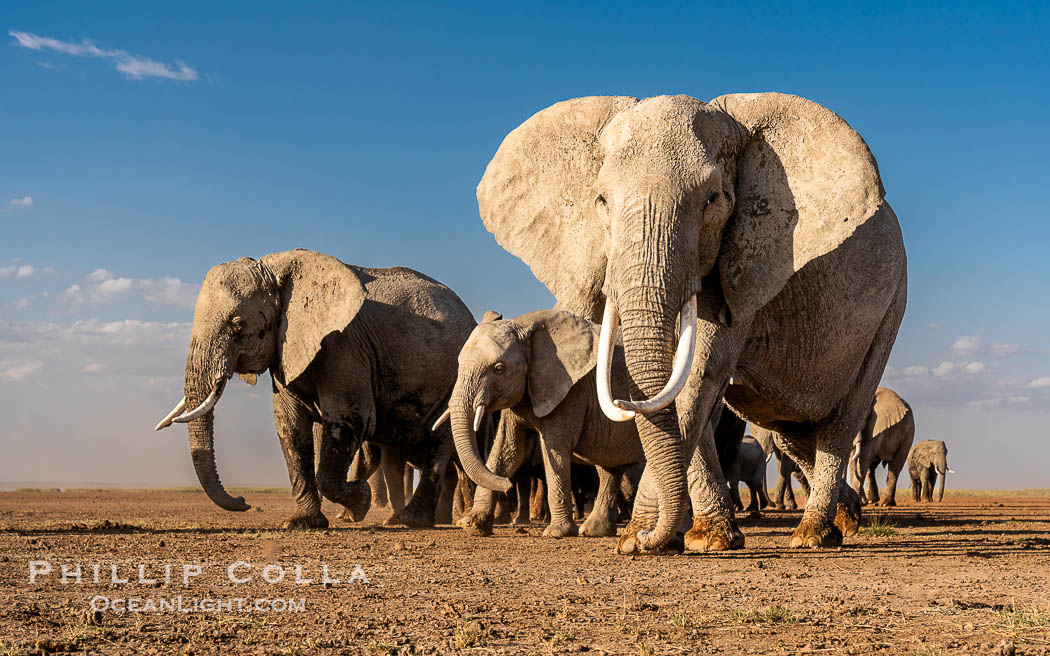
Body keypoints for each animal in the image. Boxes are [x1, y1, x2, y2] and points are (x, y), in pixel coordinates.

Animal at [155, 247, 476, 528]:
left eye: (237, 325)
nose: (243, 501)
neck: (275, 271)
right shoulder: (285, 351)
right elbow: (289, 426)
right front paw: (302, 522)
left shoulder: (343, 345)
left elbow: (350, 419)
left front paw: (360, 502)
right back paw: (400, 519)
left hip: (455, 378)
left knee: (438, 444)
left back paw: (411, 521)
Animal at [472, 93, 907, 554]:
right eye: (601, 200)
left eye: (714, 198)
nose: (646, 535)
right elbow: (680, 386)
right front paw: (706, 540)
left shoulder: (747, 260)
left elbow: (697, 372)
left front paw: (639, 540)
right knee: (787, 426)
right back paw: (848, 515)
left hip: (892, 303)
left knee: (843, 417)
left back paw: (813, 535)